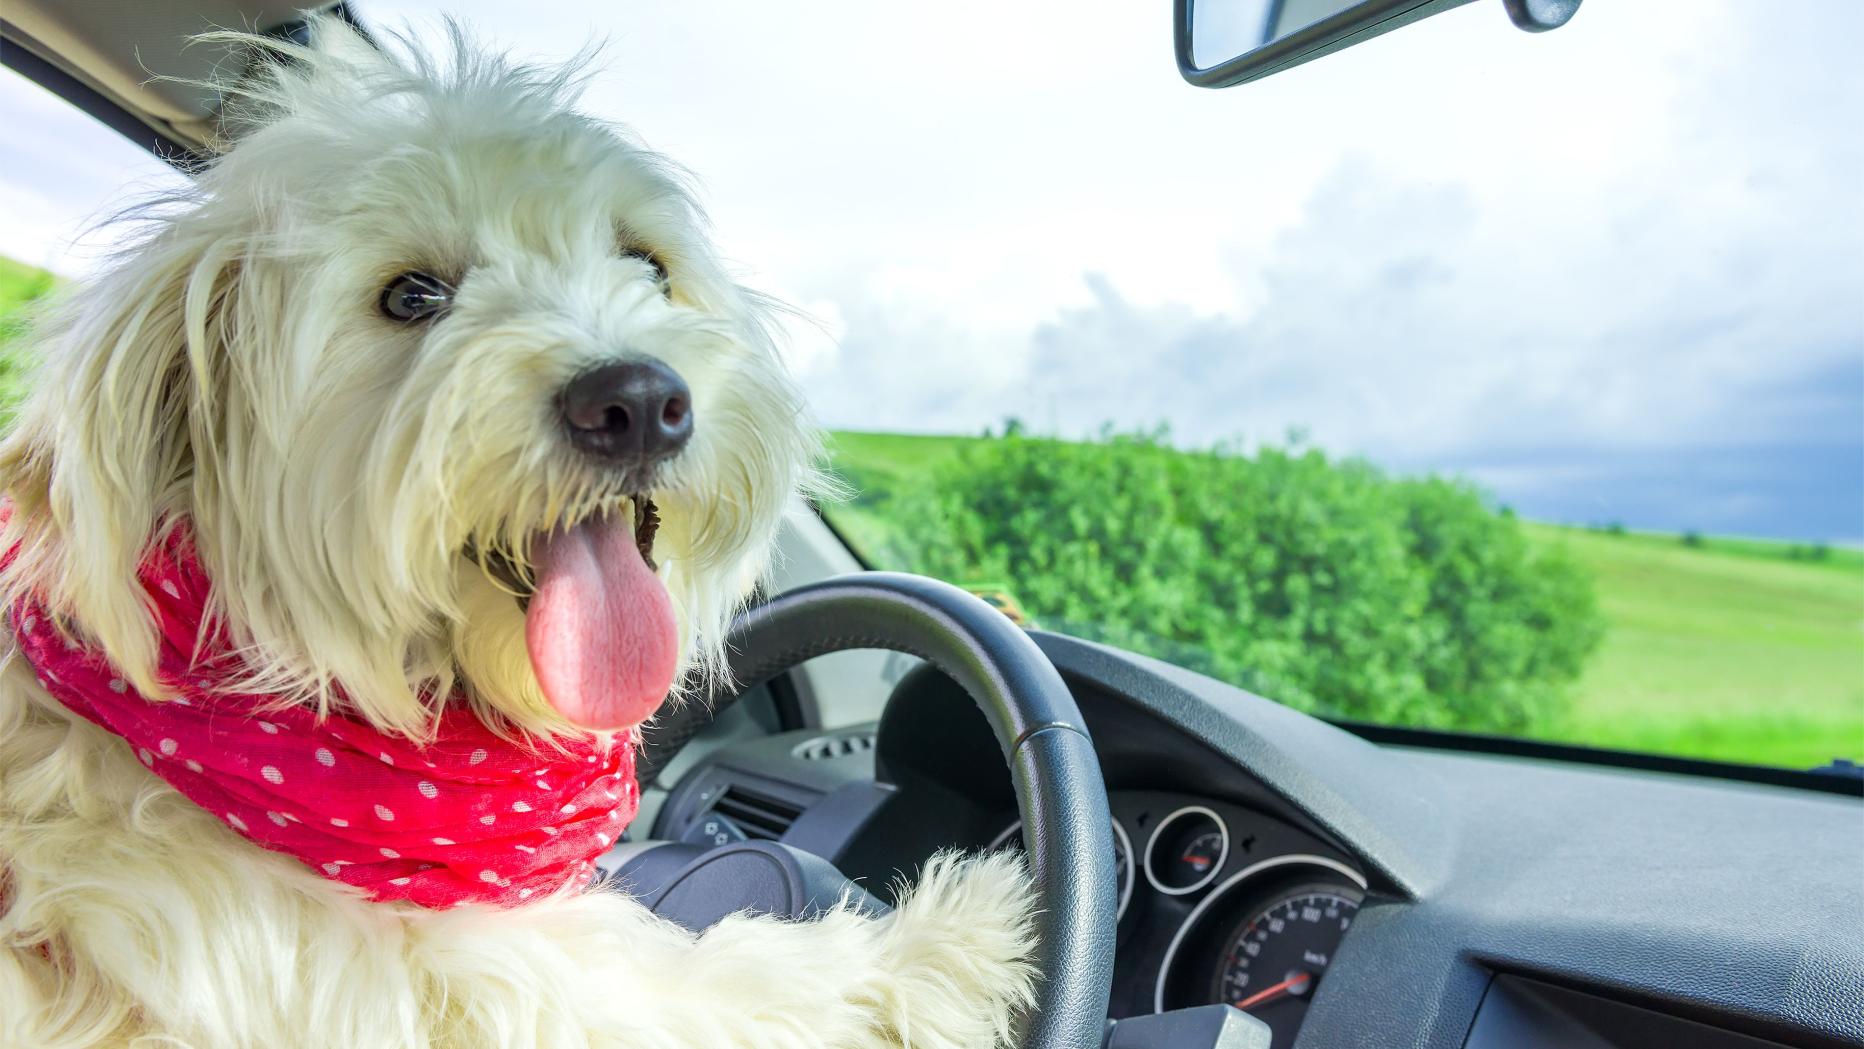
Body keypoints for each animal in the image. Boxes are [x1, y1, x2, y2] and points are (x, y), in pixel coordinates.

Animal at [0, 18, 1043, 1049]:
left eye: (648, 264)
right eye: (411, 295)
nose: (639, 401)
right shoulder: (457, 985)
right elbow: (738, 980)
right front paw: (956, 935)